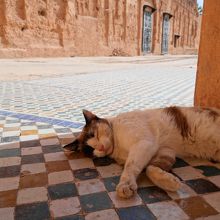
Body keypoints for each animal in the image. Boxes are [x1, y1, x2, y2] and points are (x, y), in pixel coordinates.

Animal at [63, 106, 220, 199]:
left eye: (94, 134)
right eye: (89, 149)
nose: (100, 147)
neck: (117, 148)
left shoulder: (144, 144)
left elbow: (130, 167)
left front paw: (125, 185)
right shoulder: (165, 151)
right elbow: (150, 169)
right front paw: (169, 182)